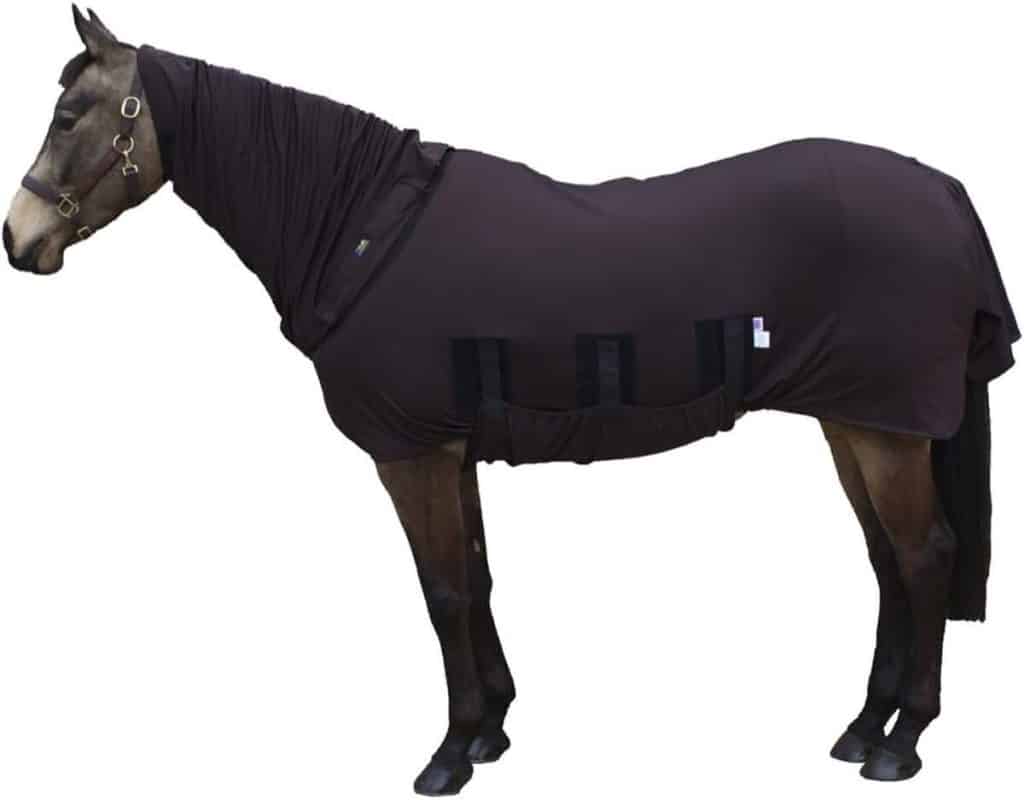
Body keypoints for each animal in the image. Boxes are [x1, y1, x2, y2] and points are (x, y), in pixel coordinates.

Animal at [4, 7, 1018, 796]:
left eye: (68, 113)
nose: (21, 239)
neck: (365, 230)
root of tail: (946, 193)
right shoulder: (450, 450)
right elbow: (478, 578)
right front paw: (491, 728)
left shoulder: (409, 454)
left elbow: (444, 591)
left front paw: (450, 753)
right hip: (858, 422)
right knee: (888, 561)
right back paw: (862, 727)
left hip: (883, 428)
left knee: (925, 555)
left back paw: (902, 742)